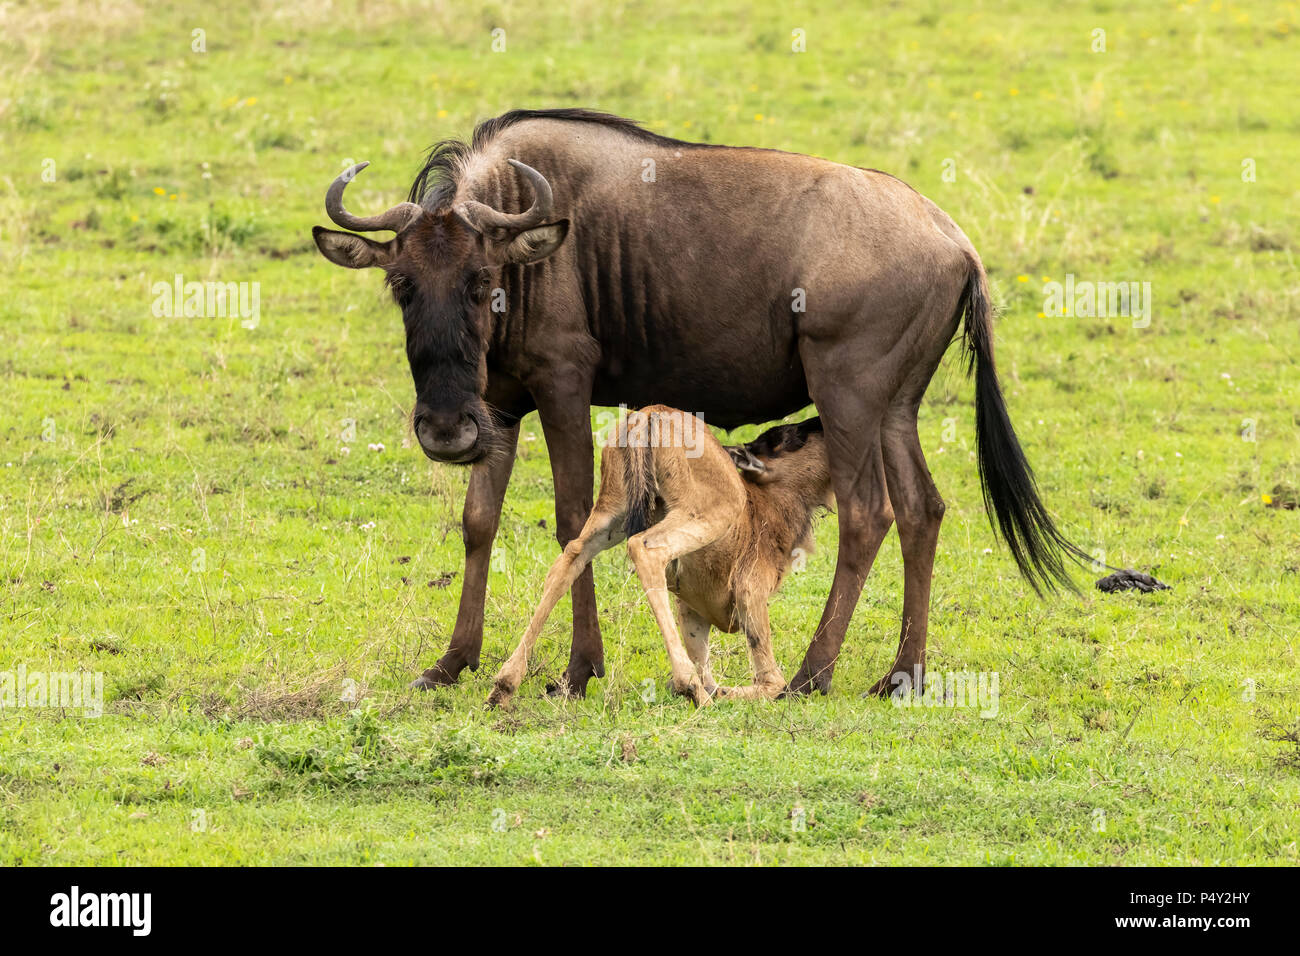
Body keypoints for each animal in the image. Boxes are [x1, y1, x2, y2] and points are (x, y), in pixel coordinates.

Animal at [487, 407, 832, 708]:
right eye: (790, 435)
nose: (821, 422)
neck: (764, 506)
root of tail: (648, 415)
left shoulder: (692, 611)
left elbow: (708, 667)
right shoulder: (750, 593)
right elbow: (771, 682)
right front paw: (713, 692)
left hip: (610, 515)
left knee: (571, 556)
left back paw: (503, 687)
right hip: (702, 515)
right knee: (646, 549)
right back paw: (690, 689)